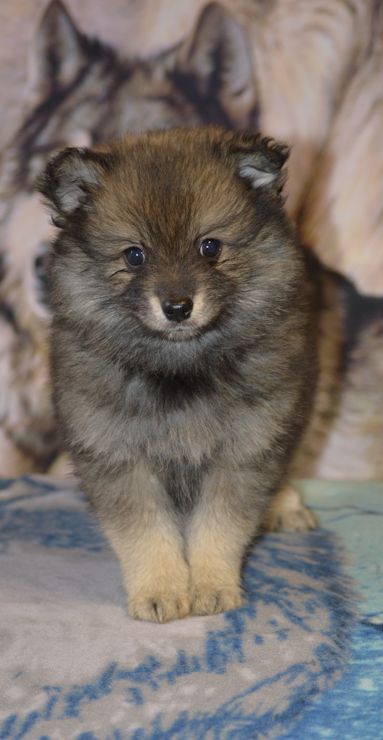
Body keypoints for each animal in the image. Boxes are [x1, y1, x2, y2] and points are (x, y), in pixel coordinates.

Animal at [40, 129, 320, 624]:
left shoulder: (245, 448)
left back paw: (284, 505)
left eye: (210, 247)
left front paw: (211, 586)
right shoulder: (118, 456)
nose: (177, 307)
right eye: (134, 255)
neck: (180, 366)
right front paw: (162, 591)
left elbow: (220, 527)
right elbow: (146, 533)